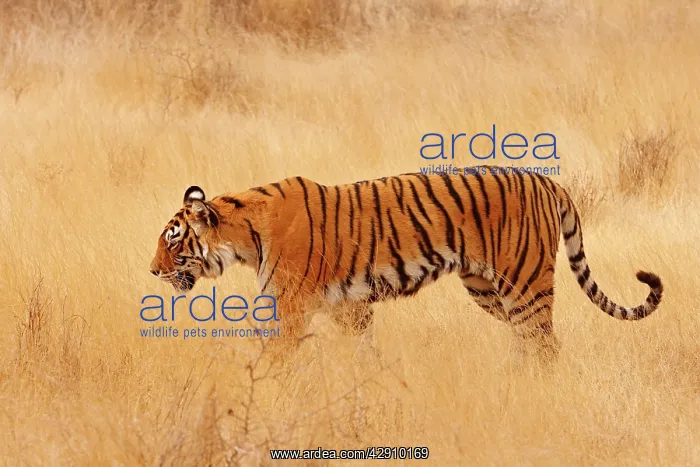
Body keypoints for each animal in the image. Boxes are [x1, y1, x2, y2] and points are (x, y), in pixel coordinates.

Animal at [149, 168, 663, 361]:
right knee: (533, 341)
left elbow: (275, 357)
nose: (153, 271)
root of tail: (545, 179)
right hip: (486, 287)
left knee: (543, 343)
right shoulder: (350, 307)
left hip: (524, 282)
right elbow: (363, 354)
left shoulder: (290, 308)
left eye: (173, 242)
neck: (242, 236)